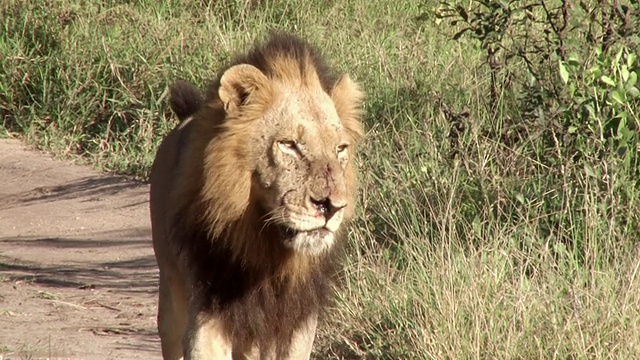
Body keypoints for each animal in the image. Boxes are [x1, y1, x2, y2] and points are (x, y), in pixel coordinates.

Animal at [147, 32, 362, 358]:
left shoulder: (297, 324)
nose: (331, 207)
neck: (265, 251)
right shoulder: (207, 313)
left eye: (340, 149)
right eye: (289, 145)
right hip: (171, 296)